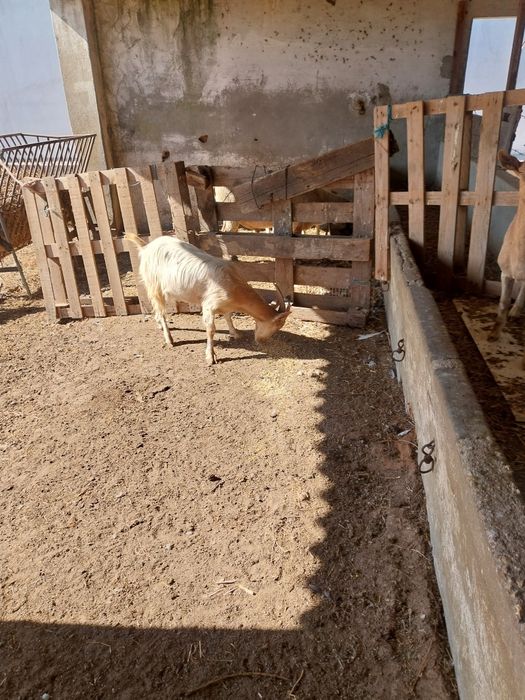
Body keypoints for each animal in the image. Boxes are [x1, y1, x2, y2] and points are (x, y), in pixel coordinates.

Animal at [125, 233, 291, 365]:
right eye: (276, 326)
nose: (262, 341)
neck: (233, 284)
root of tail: (146, 247)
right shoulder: (209, 305)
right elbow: (211, 330)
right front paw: (210, 357)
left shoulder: (225, 304)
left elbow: (228, 317)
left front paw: (235, 333)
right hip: (155, 285)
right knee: (160, 310)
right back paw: (169, 339)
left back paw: (160, 326)